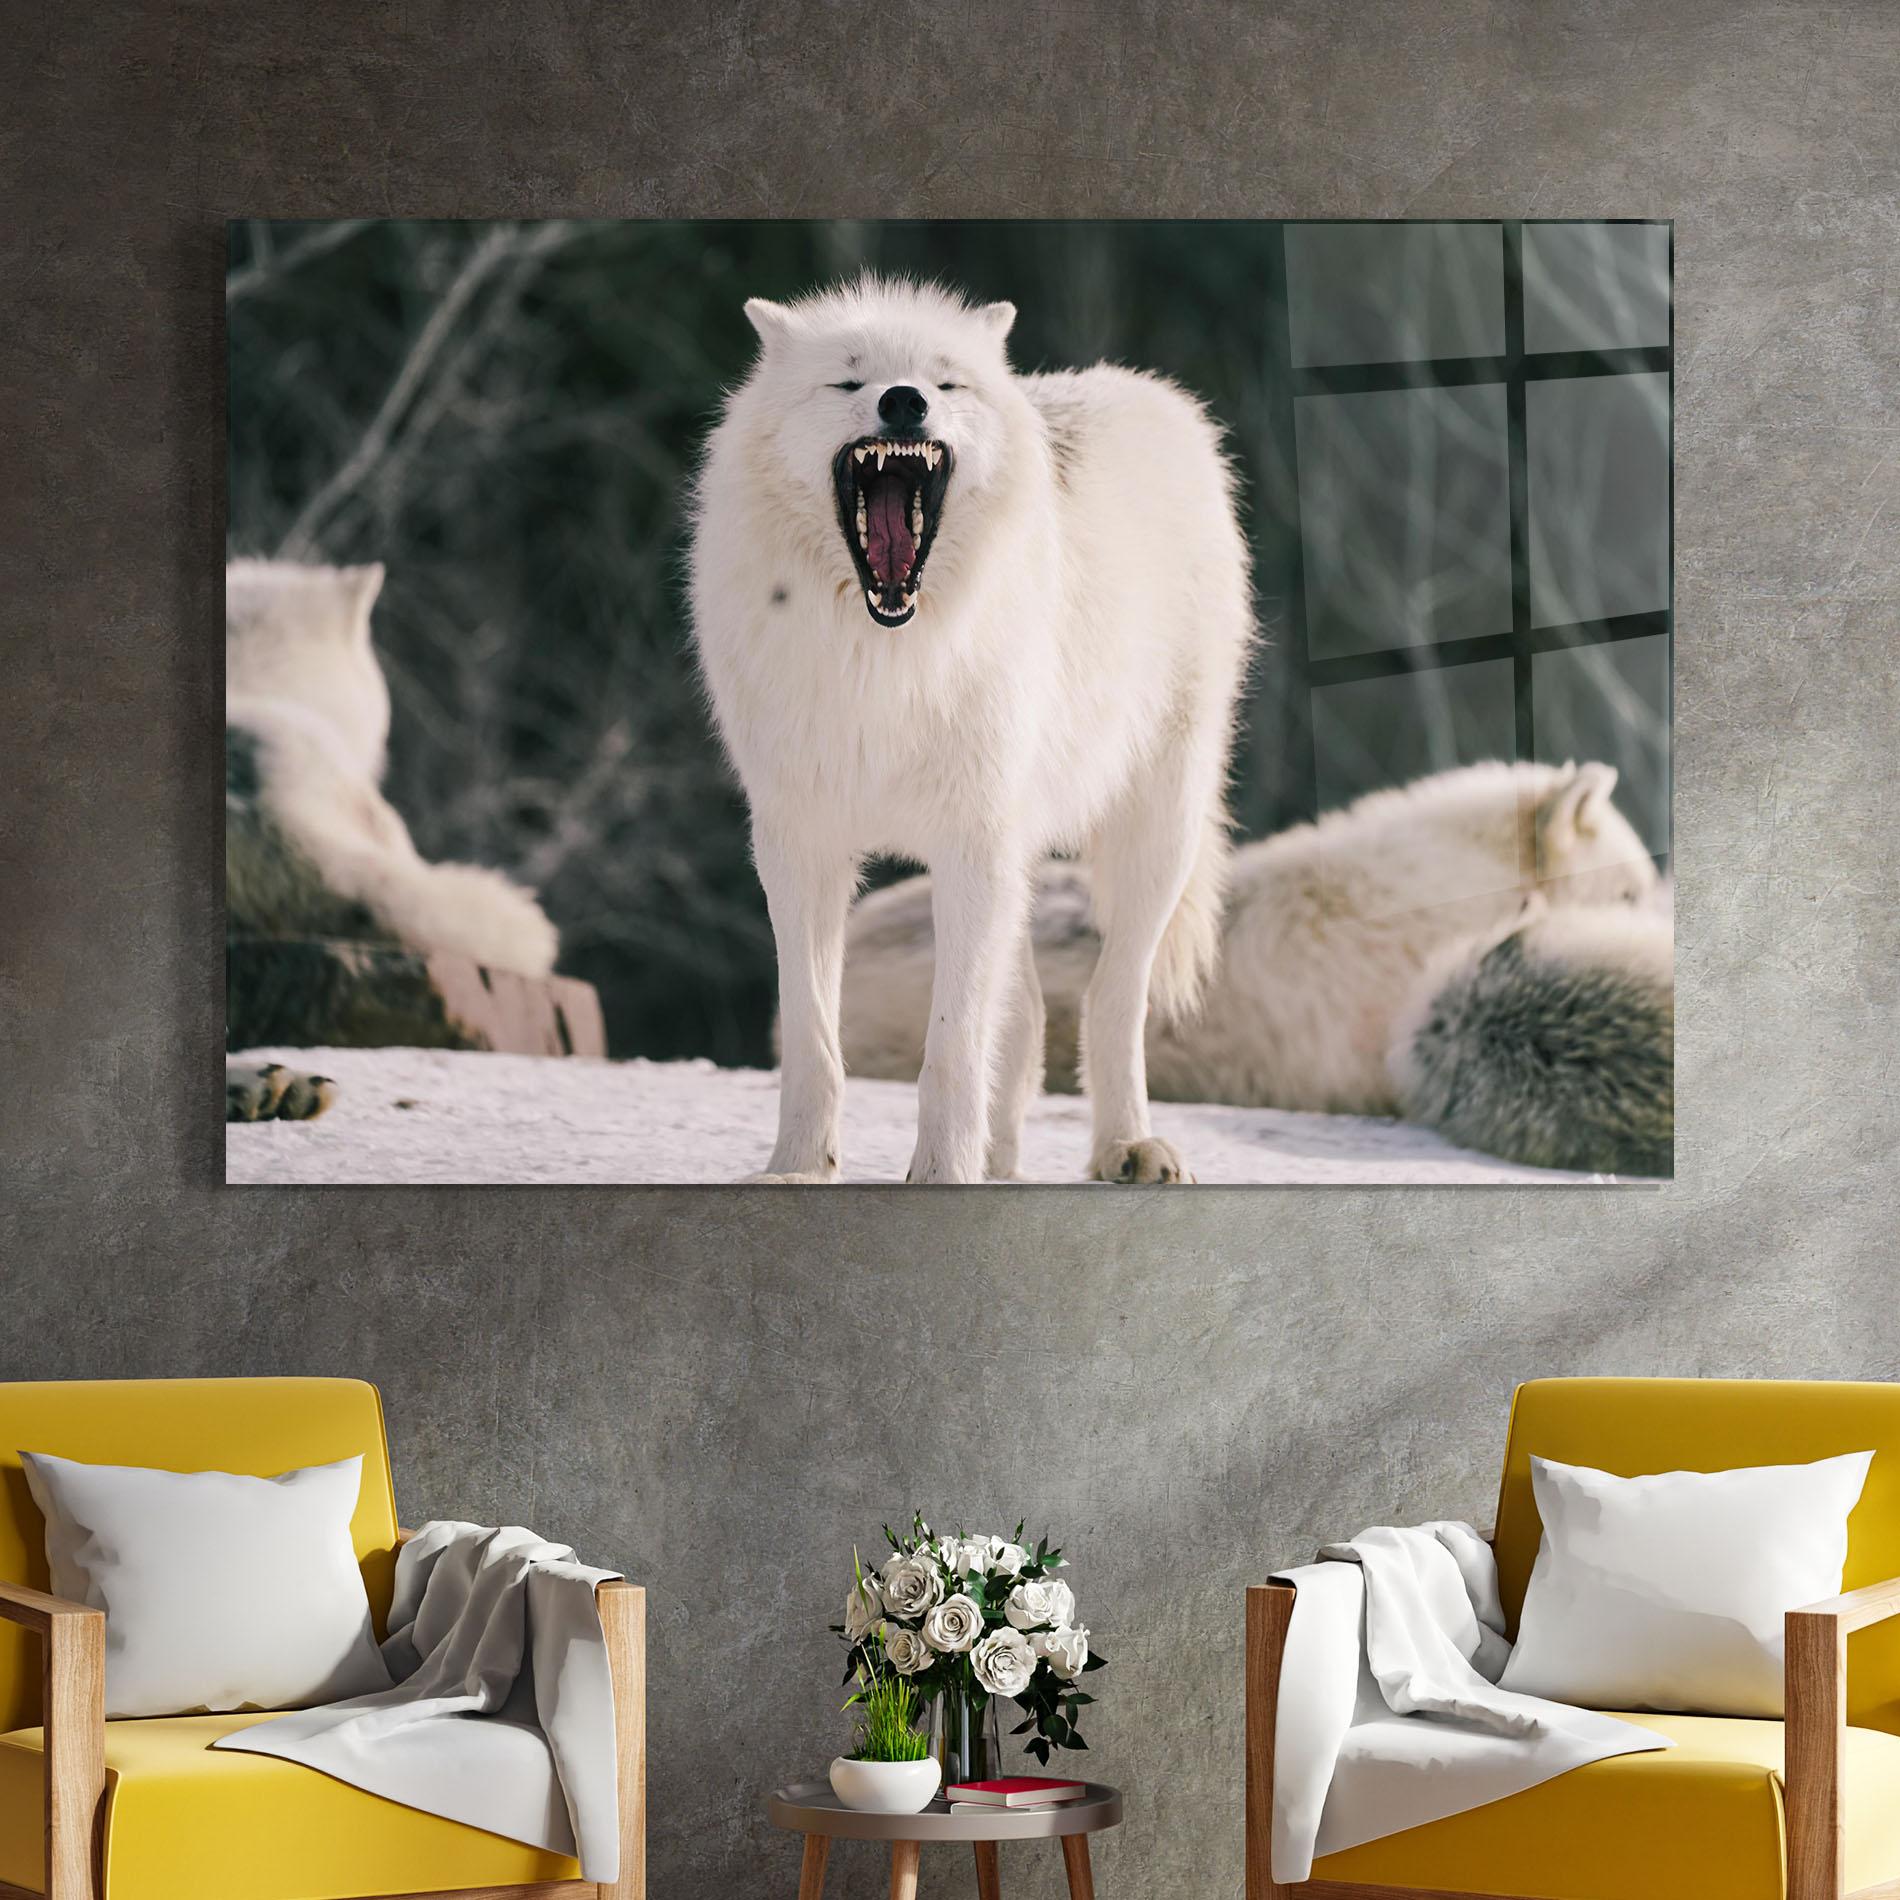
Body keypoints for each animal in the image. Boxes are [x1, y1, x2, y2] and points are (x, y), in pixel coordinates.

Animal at [690, 276, 1252, 1183]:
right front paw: (799, 1169)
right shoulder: (799, 845)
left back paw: (1127, 1146)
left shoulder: (970, 843)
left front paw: (941, 1175)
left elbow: (951, 1046)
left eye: (945, 382)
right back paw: (1004, 1161)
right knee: (1024, 1017)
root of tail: (1152, 394)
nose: (904, 401)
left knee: (1111, 996)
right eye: (849, 381)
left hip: (1154, 830)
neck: (885, 659)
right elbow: (813, 1036)